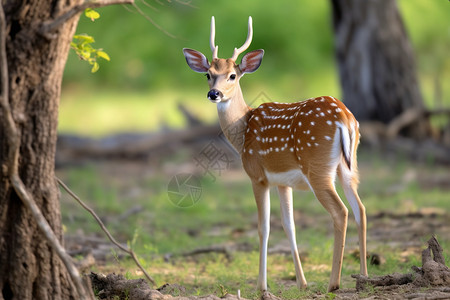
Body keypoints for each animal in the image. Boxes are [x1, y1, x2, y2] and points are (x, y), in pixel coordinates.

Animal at [184, 17, 370, 292]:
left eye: (232, 75)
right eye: (209, 74)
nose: (214, 94)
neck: (243, 132)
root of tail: (344, 118)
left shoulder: (257, 176)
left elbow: (264, 228)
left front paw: (262, 286)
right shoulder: (283, 182)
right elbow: (289, 225)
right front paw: (302, 283)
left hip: (317, 167)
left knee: (341, 212)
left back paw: (333, 283)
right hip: (348, 166)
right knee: (361, 209)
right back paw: (364, 277)